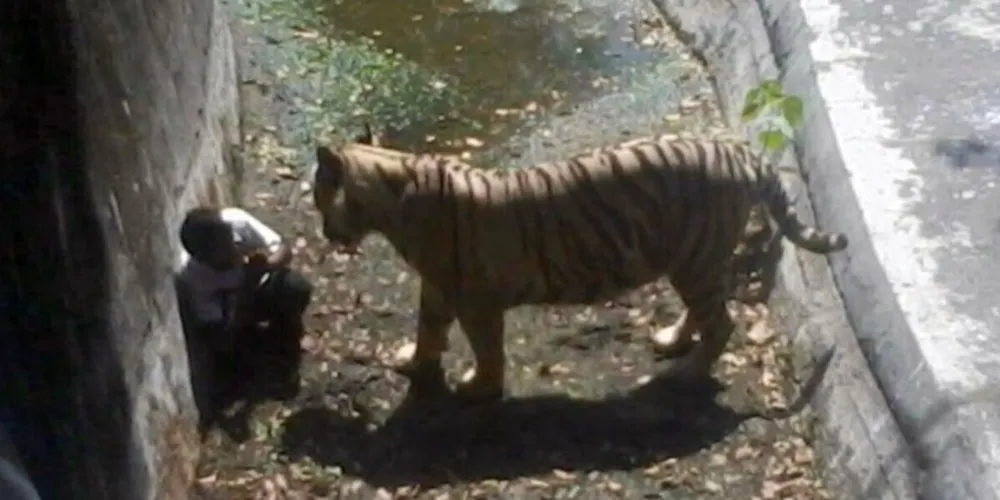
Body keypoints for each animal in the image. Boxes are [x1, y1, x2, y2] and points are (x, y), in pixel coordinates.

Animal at [311, 125, 848, 404]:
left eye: (317, 197)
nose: (323, 232)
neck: (394, 188)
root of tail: (741, 154)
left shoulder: (475, 300)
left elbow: (486, 349)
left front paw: (479, 387)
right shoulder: (440, 289)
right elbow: (428, 329)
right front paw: (415, 363)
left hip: (696, 260)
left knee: (723, 322)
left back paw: (686, 372)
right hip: (689, 262)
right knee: (704, 313)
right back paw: (672, 341)